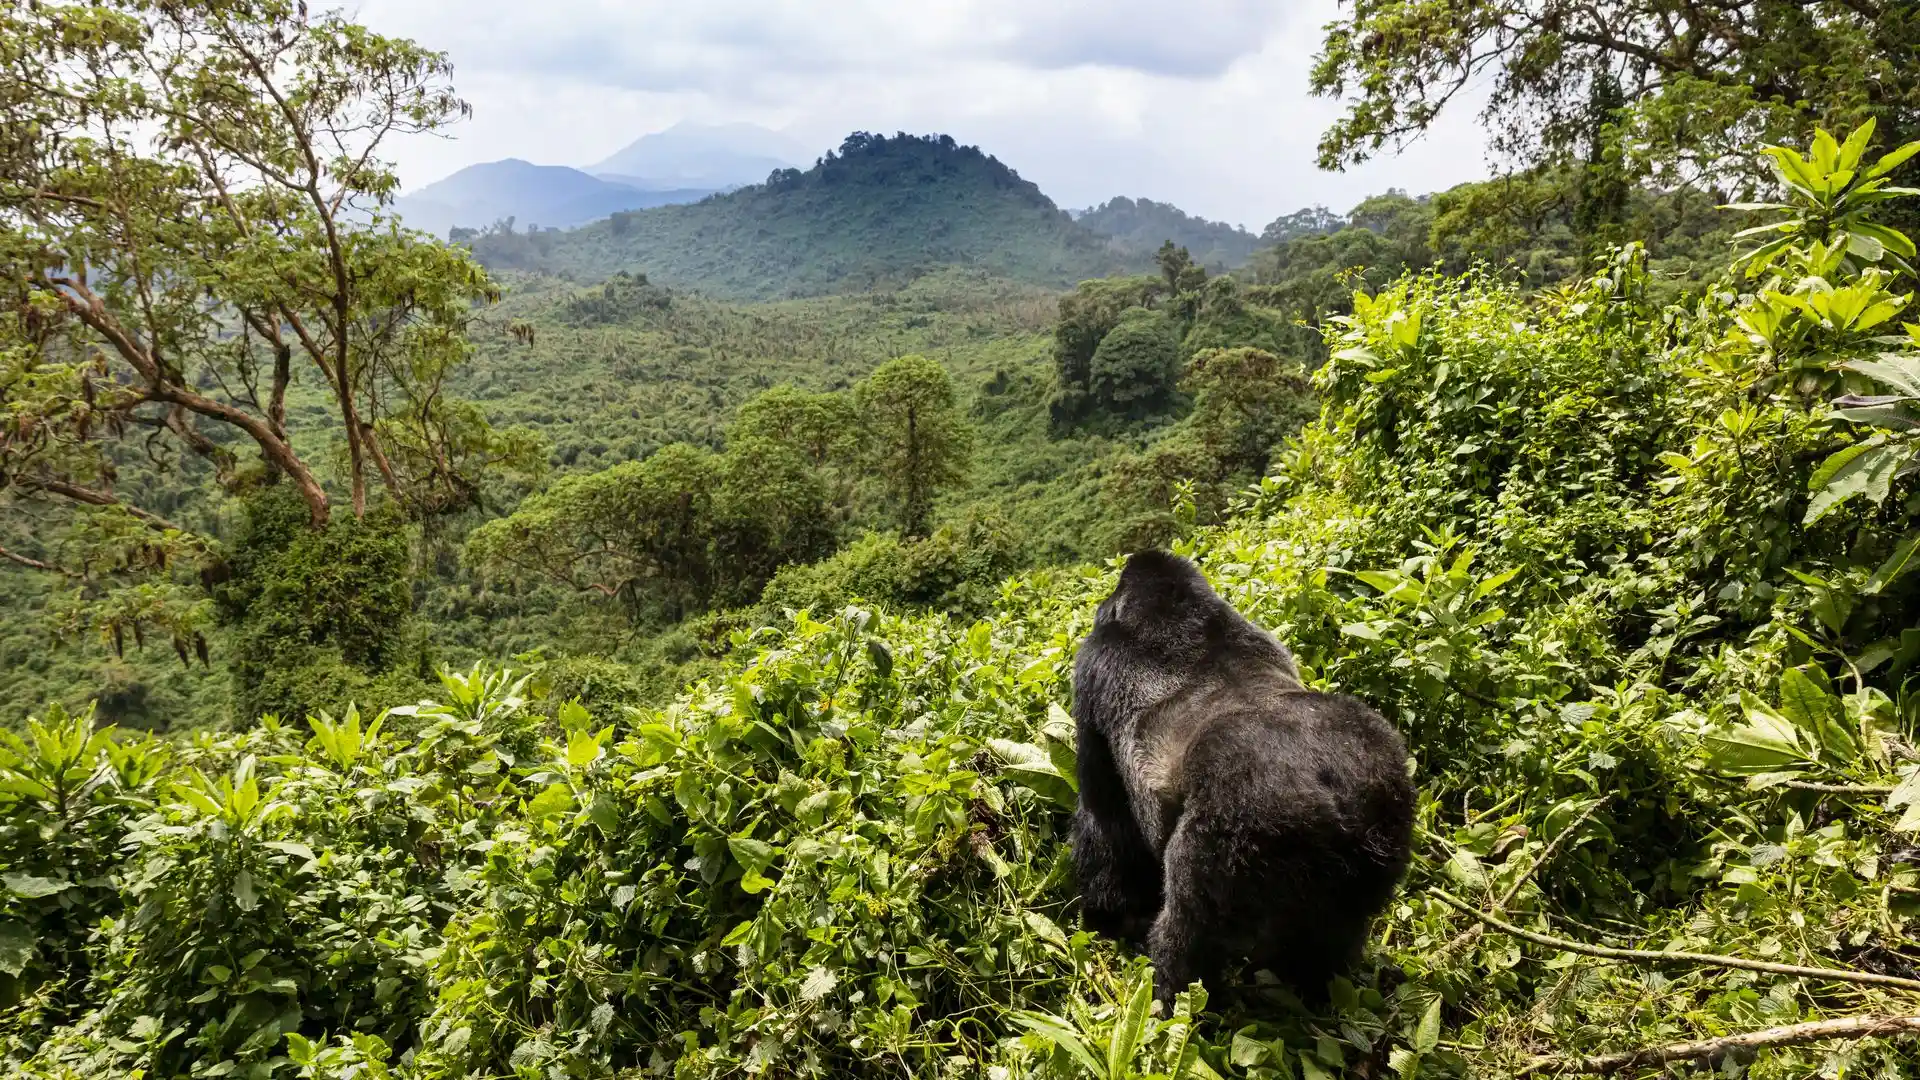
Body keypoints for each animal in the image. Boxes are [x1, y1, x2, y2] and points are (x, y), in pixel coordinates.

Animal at [1070, 550, 1415, 1009]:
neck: (1176, 612)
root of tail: (1334, 794)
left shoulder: (1092, 667)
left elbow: (1104, 818)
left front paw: (1110, 918)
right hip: (1386, 805)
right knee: (1335, 935)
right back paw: (1315, 986)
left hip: (1240, 827)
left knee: (1188, 932)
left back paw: (1175, 997)